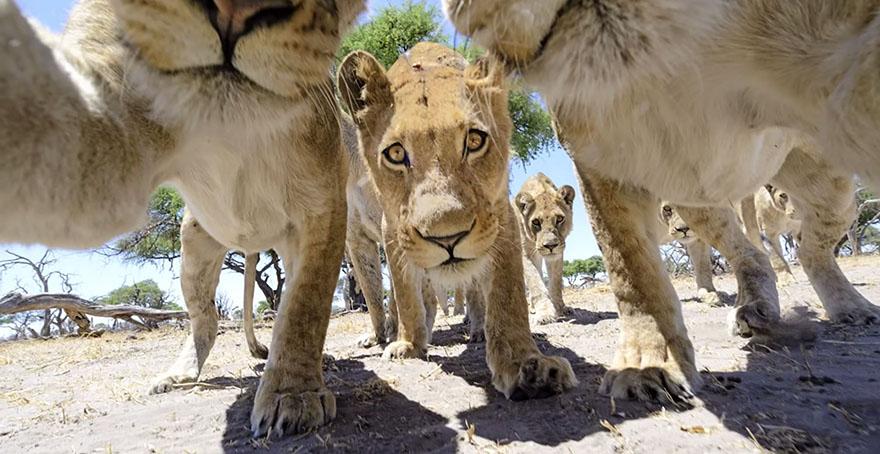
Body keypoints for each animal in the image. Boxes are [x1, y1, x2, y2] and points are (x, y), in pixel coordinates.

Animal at [0, 0, 364, 436]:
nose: (234, 11)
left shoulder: (324, 206)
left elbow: (304, 306)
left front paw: (293, 397)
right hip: (194, 243)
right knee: (205, 317)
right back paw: (178, 375)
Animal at [508, 172, 576, 324]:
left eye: (559, 219)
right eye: (535, 222)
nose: (550, 245)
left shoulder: (557, 254)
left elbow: (555, 282)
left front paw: (560, 308)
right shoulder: (525, 253)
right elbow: (535, 283)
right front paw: (545, 313)